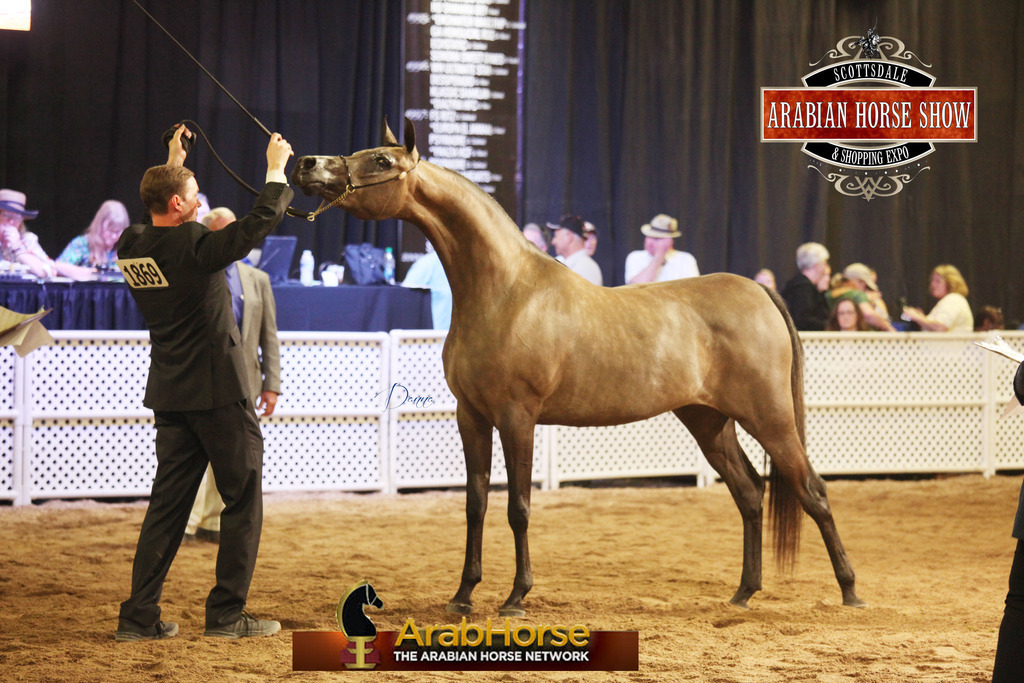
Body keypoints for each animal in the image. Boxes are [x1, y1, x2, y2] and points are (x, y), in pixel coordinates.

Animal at [291, 118, 865, 616]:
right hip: (709, 421)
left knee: (812, 491)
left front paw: (516, 597)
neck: (506, 291)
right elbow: (476, 504)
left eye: (381, 159)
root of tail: (759, 291)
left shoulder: (517, 417)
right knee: (749, 494)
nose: (307, 164)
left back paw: (850, 591)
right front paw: (463, 595)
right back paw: (744, 592)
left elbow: (518, 507)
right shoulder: (470, 416)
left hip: (770, 418)